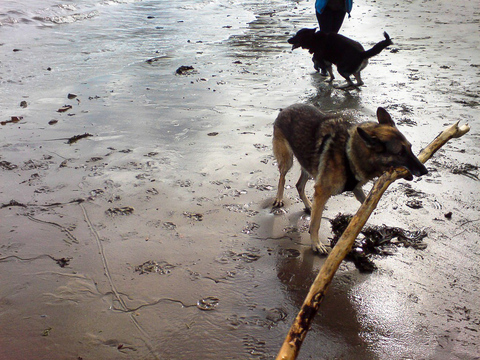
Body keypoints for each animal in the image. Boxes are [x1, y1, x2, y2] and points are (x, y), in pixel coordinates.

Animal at [274, 104, 428, 255]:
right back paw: (279, 198)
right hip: (287, 160)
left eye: (410, 147)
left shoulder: (357, 188)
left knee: (299, 185)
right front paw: (316, 244)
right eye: (400, 153)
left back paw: (308, 205)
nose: (425, 171)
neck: (349, 152)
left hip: (308, 165)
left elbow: (365, 205)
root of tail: (286, 108)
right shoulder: (322, 192)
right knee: (282, 177)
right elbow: (315, 223)